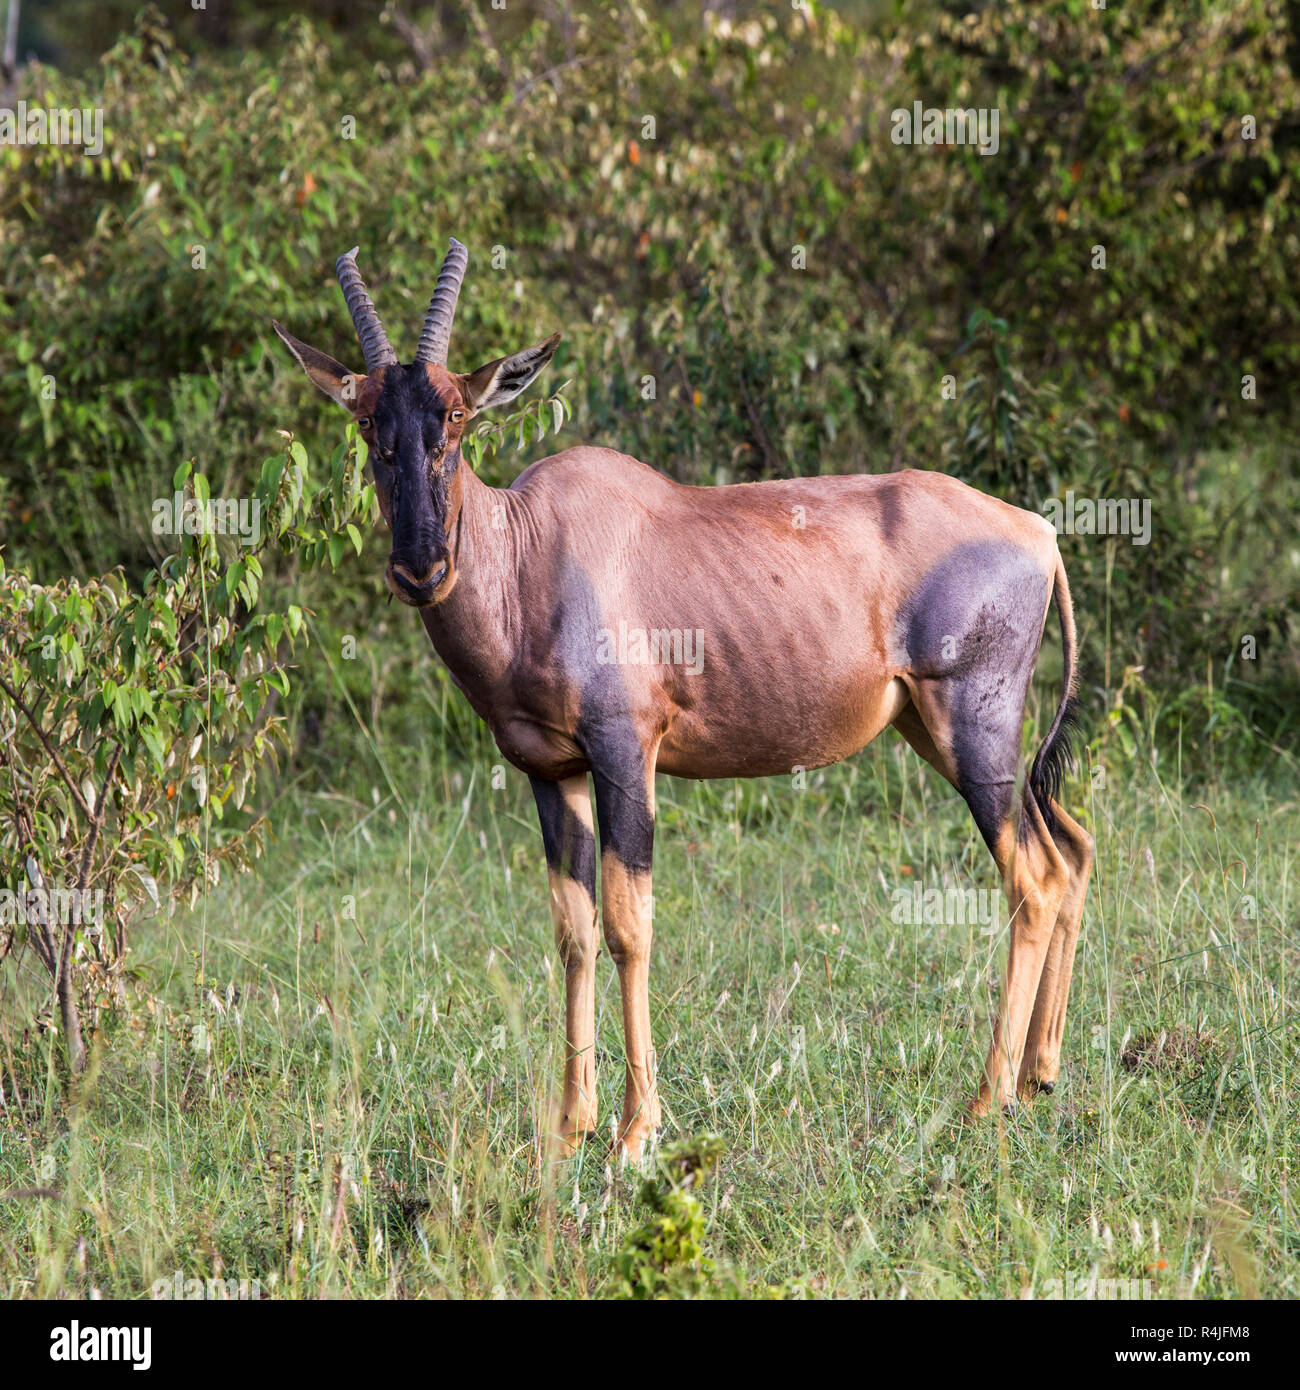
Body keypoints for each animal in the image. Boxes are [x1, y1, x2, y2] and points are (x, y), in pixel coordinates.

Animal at [276, 244, 1095, 1156]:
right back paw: (1040, 1074)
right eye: (366, 424)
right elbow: (573, 929)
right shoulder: (549, 771)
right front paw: (569, 1126)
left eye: (455, 417)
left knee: (1034, 880)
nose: (420, 569)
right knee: (1072, 850)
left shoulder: (625, 752)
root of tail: (1037, 533)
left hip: (975, 729)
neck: (536, 547)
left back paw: (989, 1101)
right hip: (938, 731)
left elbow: (630, 925)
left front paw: (637, 1130)